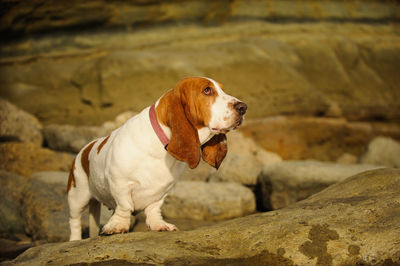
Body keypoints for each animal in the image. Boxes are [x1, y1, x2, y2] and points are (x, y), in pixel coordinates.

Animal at [67, 76, 247, 240]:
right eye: (207, 90)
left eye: (222, 89)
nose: (243, 107)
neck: (160, 149)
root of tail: (85, 149)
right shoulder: (120, 183)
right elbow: (125, 206)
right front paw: (117, 226)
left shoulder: (163, 190)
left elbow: (154, 208)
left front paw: (159, 225)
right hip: (77, 197)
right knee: (74, 221)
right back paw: (75, 239)